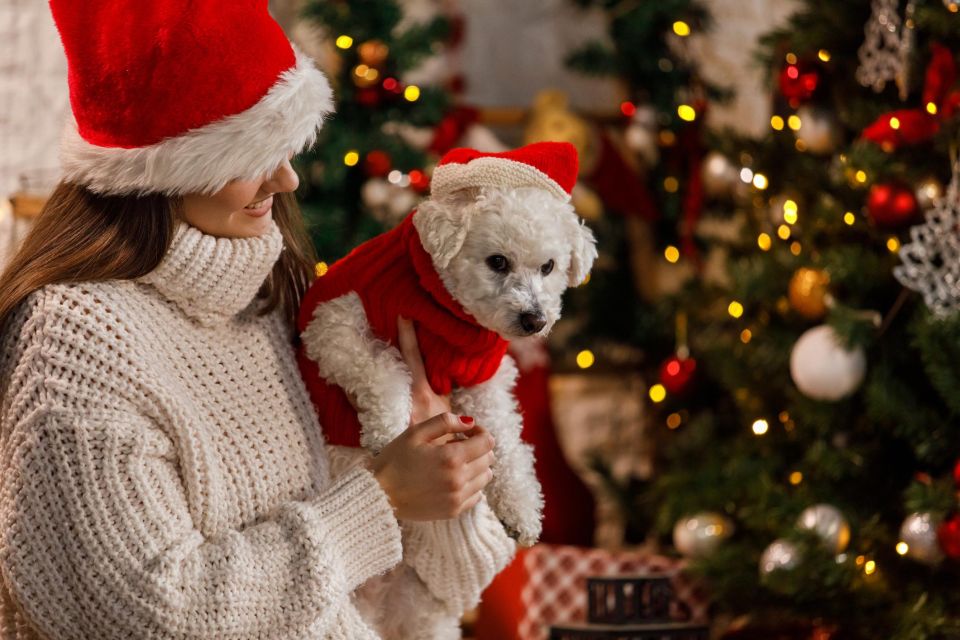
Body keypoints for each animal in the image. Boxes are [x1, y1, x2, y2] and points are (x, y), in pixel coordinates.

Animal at [300, 142, 596, 548]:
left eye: (548, 267)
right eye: (497, 262)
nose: (534, 320)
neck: (447, 308)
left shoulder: (484, 380)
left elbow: (506, 438)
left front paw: (520, 505)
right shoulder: (332, 325)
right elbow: (382, 368)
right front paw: (388, 429)